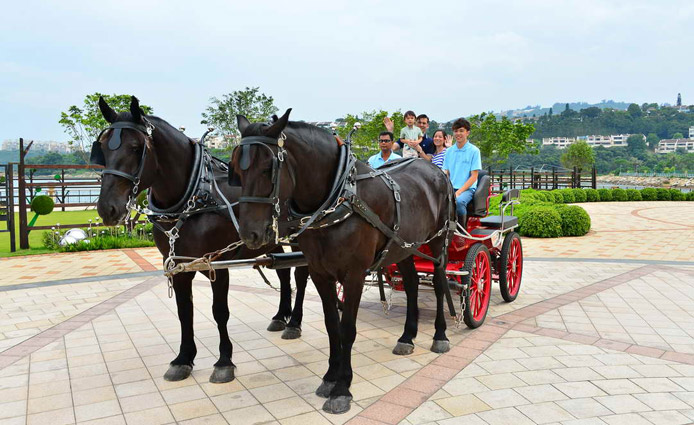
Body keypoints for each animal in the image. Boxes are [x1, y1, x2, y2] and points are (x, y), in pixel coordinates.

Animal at [94, 97, 310, 384]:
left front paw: (224, 361)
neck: (194, 197)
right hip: (268, 238)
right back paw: (280, 317)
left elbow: (220, 311)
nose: (108, 208)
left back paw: (294, 322)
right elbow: (184, 311)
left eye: (136, 148)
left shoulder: (217, 264)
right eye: (103, 147)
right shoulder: (178, 264)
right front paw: (183, 359)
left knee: (301, 274)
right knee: (283, 271)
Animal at [231, 110, 454, 414]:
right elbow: (331, 325)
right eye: (237, 170)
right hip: (405, 246)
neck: (337, 198)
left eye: (268, 168)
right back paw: (407, 337)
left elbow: (347, 328)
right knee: (410, 284)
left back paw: (440, 336)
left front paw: (342, 388)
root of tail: (435, 170)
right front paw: (329, 376)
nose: (250, 234)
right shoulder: (319, 272)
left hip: (437, 240)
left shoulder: (354, 274)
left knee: (440, 282)